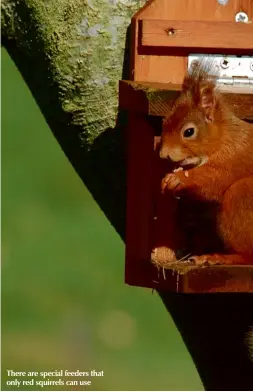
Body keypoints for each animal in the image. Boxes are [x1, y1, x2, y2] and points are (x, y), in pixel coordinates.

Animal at [156, 62, 253, 266]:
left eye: (189, 131)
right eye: (164, 122)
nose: (163, 155)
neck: (224, 139)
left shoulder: (233, 159)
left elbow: (213, 180)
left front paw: (181, 178)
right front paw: (169, 178)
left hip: (240, 197)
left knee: (248, 256)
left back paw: (218, 257)